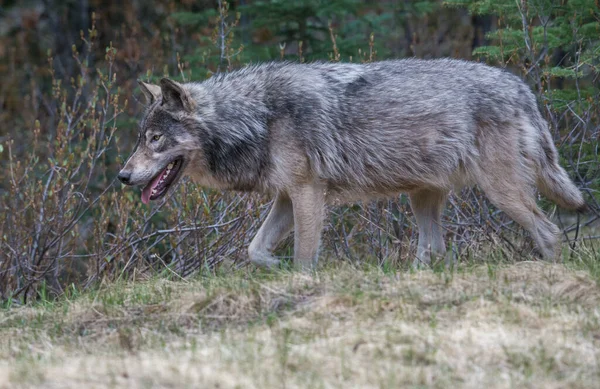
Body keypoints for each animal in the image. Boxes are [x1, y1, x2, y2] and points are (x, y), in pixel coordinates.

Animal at [117, 59, 584, 270]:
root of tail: (521, 86)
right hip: (422, 198)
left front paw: (301, 278)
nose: (122, 176)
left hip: (501, 193)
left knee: (549, 230)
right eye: (141, 139)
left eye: (155, 140)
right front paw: (277, 270)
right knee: (433, 250)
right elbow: (255, 250)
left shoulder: (308, 193)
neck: (256, 117)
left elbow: (305, 255)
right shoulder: (286, 197)